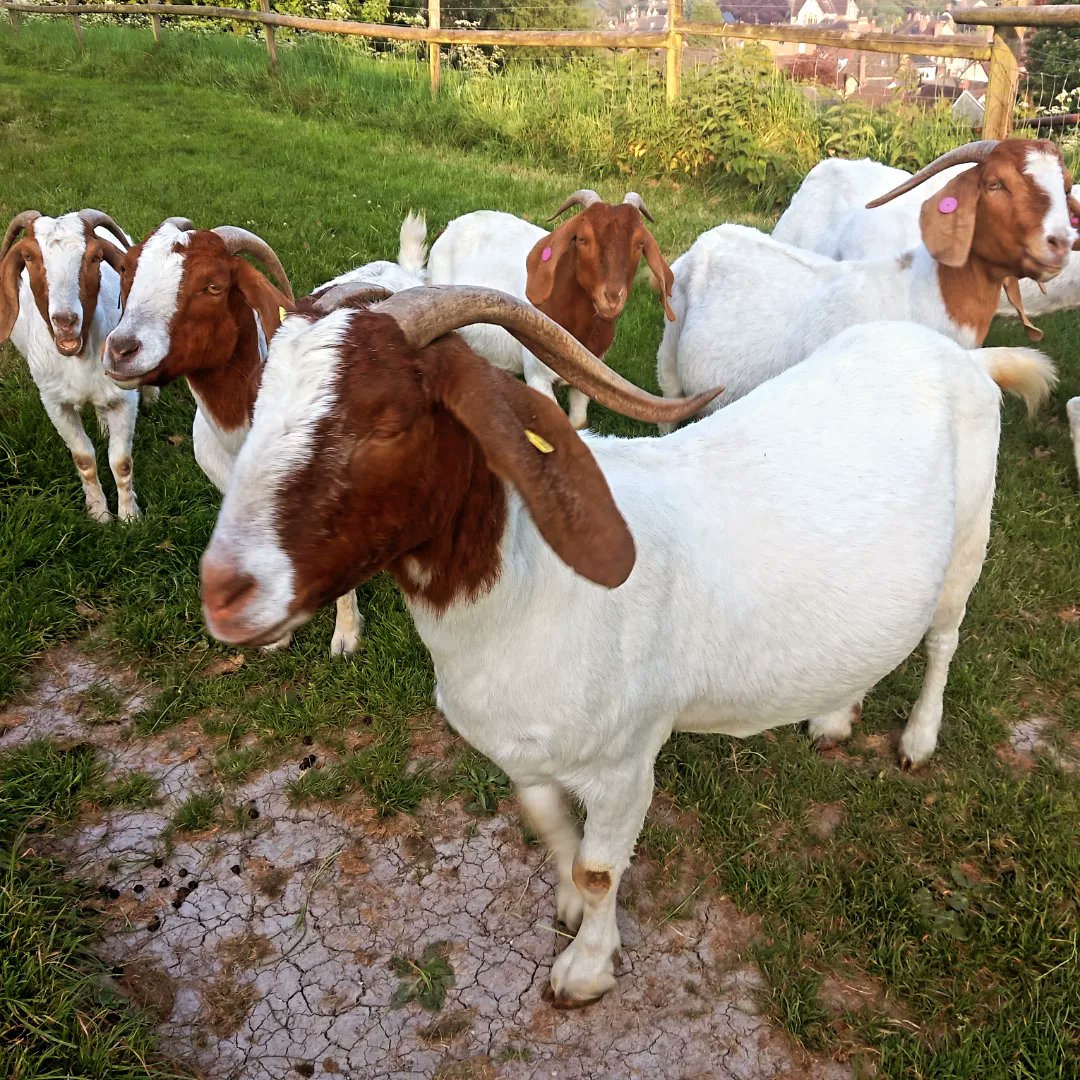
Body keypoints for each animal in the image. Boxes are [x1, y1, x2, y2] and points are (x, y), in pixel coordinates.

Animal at [0, 209, 153, 522]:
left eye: (95, 257)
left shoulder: (124, 397)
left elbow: (121, 462)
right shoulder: (54, 402)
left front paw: (129, 517)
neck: (79, 356)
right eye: (29, 256)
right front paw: (99, 513)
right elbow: (83, 459)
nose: (66, 320)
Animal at [197, 284, 1053, 1007]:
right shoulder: (524, 753)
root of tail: (964, 359)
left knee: (943, 638)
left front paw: (583, 970)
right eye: (262, 400)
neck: (531, 585)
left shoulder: (626, 761)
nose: (223, 593)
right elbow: (549, 826)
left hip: (969, 541)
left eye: (386, 420)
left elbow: (603, 867)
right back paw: (835, 717)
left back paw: (916, 739)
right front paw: (569, 909)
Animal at [428, 191, 674, 430]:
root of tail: (448, 227)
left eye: (640, 243)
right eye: (582, 239)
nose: (612, 299)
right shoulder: (537, 375)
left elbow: (578, 423)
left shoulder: (588, 381)